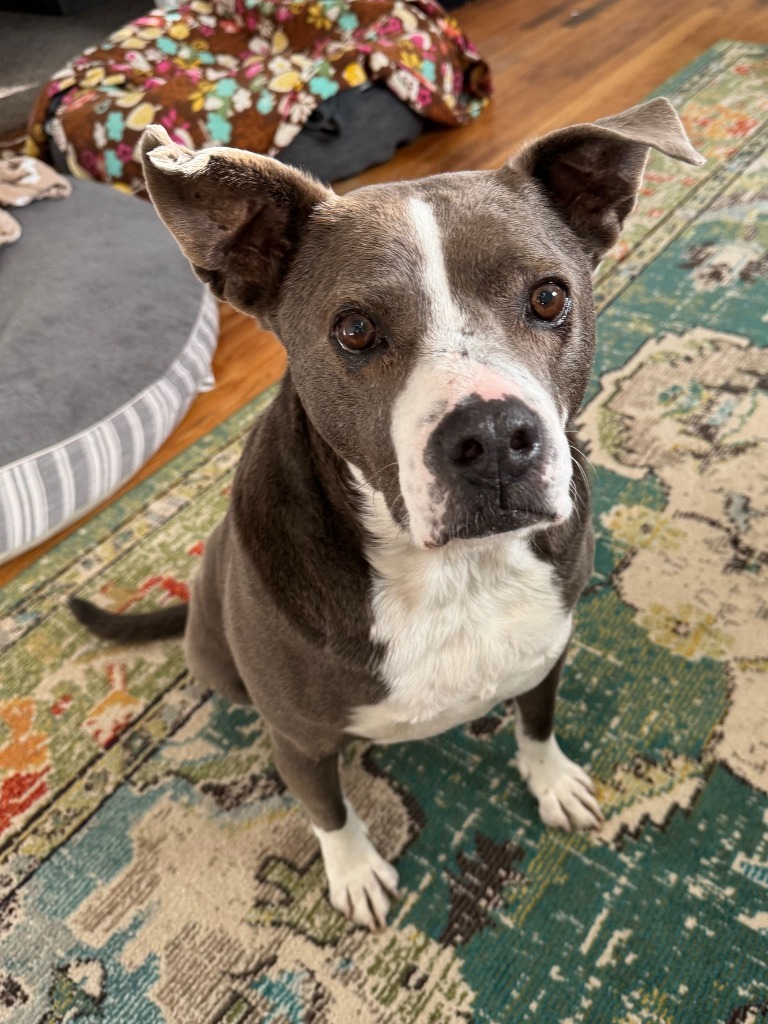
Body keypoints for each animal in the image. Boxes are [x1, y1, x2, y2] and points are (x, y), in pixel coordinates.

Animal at [69, 99, 708, 933]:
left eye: (549, 297)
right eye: (355, 330)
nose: (493, 437)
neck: (455, 572)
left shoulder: (547, 655)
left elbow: (536, 722)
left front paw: (551, 779)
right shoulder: (299, 740)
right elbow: (329, 810)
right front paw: (354, 872)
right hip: (216, 658)